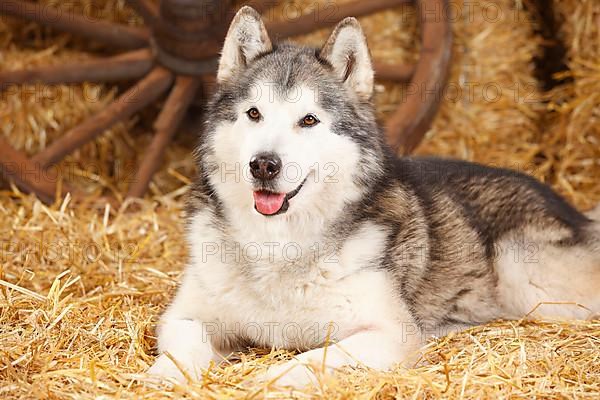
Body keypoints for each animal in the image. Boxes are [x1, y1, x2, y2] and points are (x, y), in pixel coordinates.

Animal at [146, 5, 600, 388]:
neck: (278, 245)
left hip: (525, 277)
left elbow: (310, 359)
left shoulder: (390, 334)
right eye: (254, 114)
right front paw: (162, 380)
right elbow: (180, 349)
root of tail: (570, 208)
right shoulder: (183, 317)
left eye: (308, 120)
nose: (263, 165)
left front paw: (266, 382)